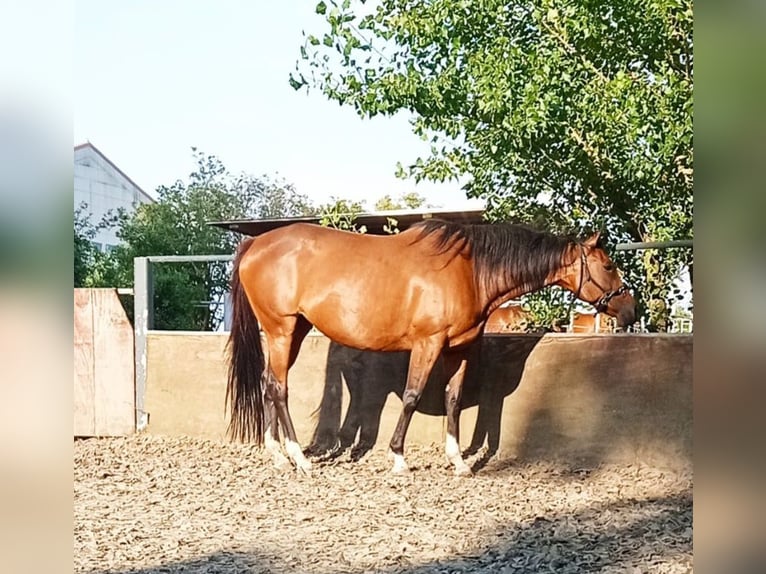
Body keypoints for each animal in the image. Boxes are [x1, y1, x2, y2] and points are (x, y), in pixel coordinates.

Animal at [226, 220, 636, 476]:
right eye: (609, 266)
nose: (631, 309)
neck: (470, 270)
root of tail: (255, 242)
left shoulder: (459, 349)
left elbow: (453, 399)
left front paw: (459, 462)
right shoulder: (428, 343)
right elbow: (412, 395)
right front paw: (398, 459)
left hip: (292, 331)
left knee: (267, 384)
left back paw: (278, 456)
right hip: (280, 330)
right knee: (279, 388)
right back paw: (300, 460)